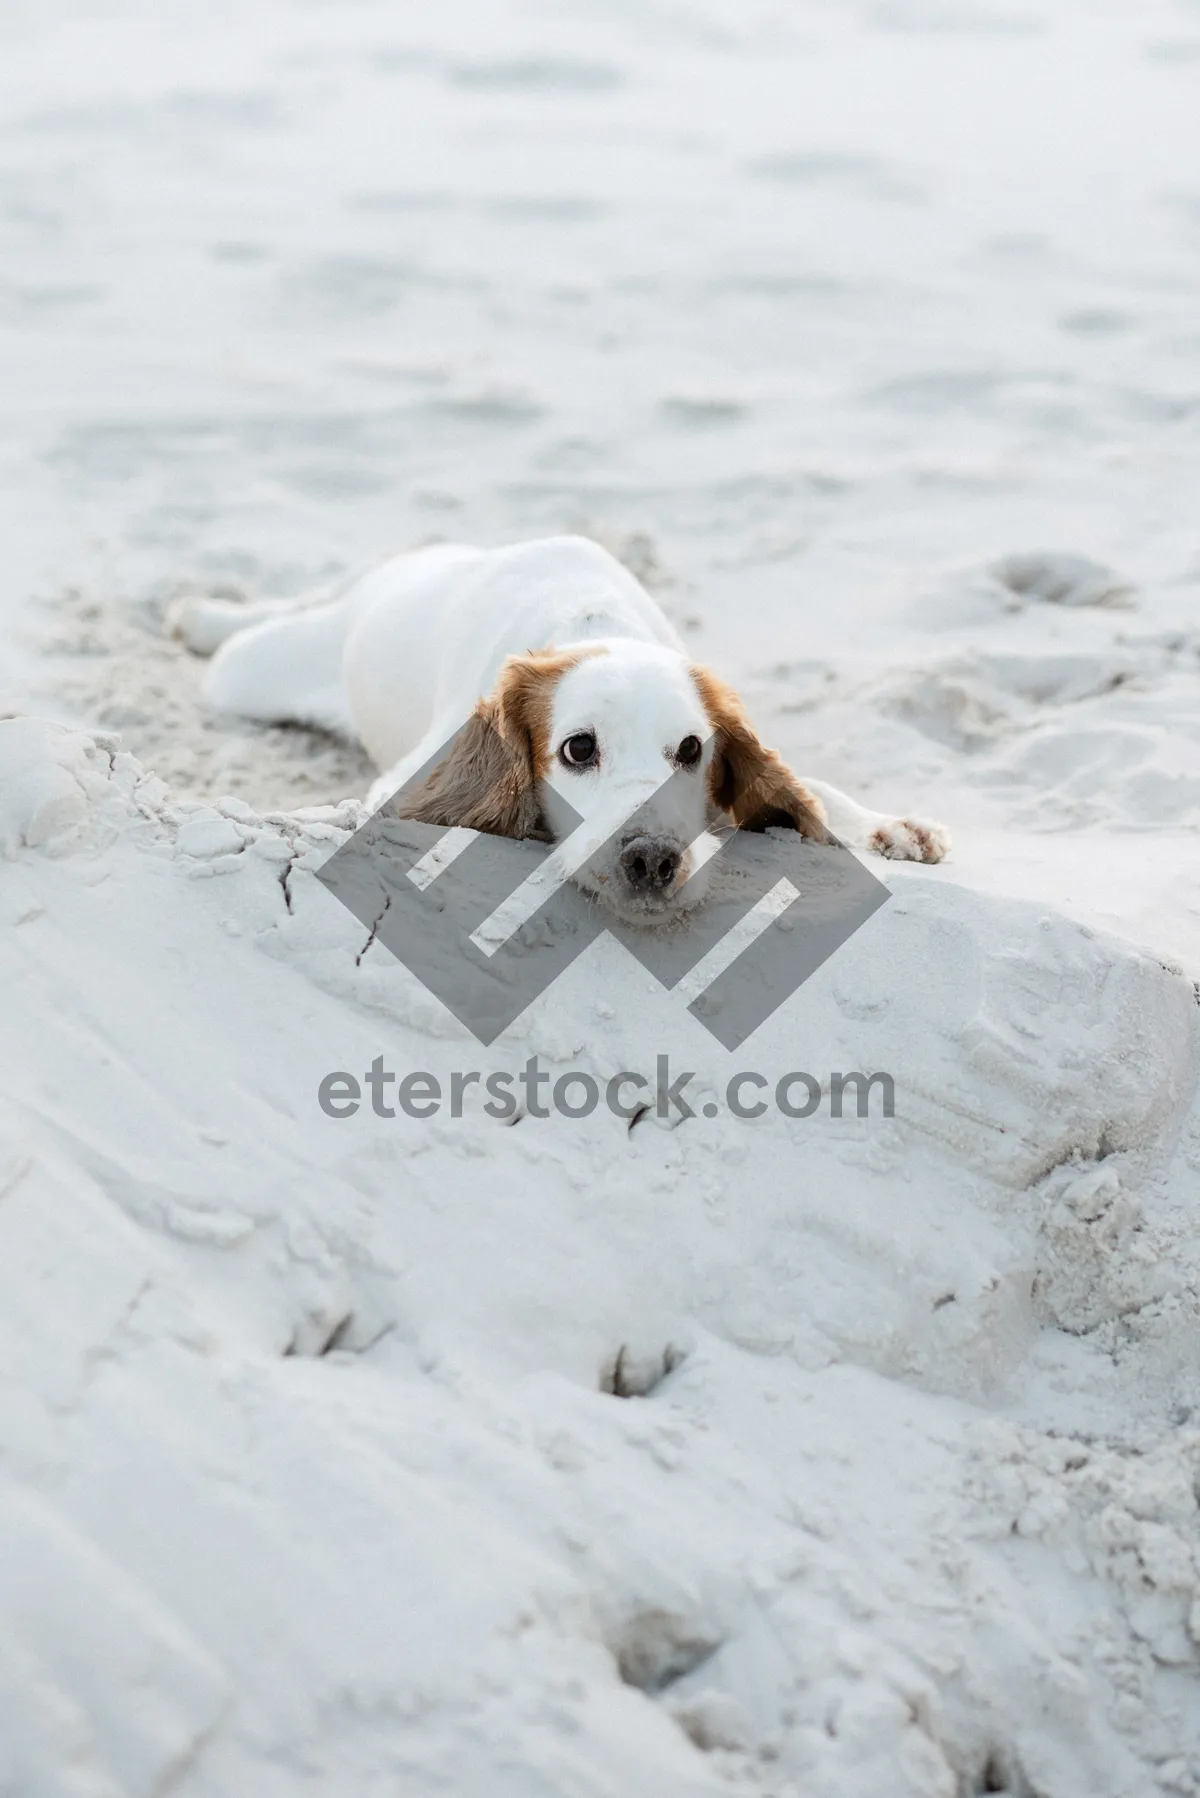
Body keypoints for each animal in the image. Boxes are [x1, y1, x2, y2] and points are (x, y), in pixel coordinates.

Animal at [173, 532, 949, 927]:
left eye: (692, 750)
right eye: (578, 748)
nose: (652, 860)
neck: (594, 627)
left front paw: (888, 827)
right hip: (253, 669)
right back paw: (200, 616)